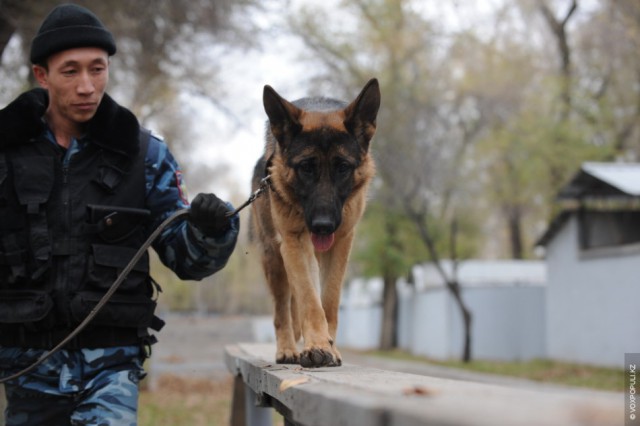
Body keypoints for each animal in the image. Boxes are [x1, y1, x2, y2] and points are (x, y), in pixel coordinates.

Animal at [250, 79, 380, 366]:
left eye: (342, 167)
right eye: (306, 168)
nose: (323, 225)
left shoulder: (341, 243)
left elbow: (328, 300)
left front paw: (329, 346)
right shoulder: (294, 243)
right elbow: (310, 300)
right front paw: (318, 346)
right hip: (274, 261)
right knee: (282, 312)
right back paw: (287, 350)